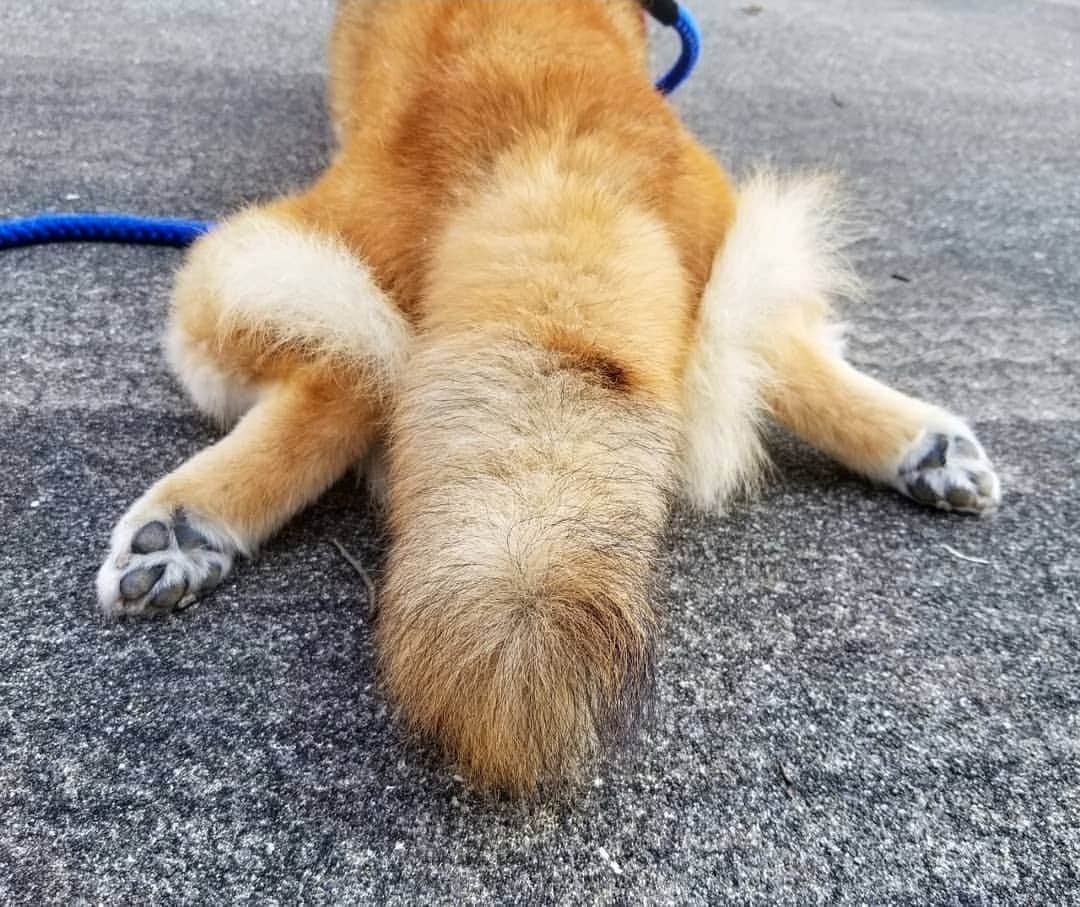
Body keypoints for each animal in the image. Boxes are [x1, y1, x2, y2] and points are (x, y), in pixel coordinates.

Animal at [97, 0, 997, 790]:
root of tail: (556, 144)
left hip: (256, 261)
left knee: (351, 377)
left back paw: (184, 524)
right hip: (728, 232)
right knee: (778, 349)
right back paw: (927, 448)